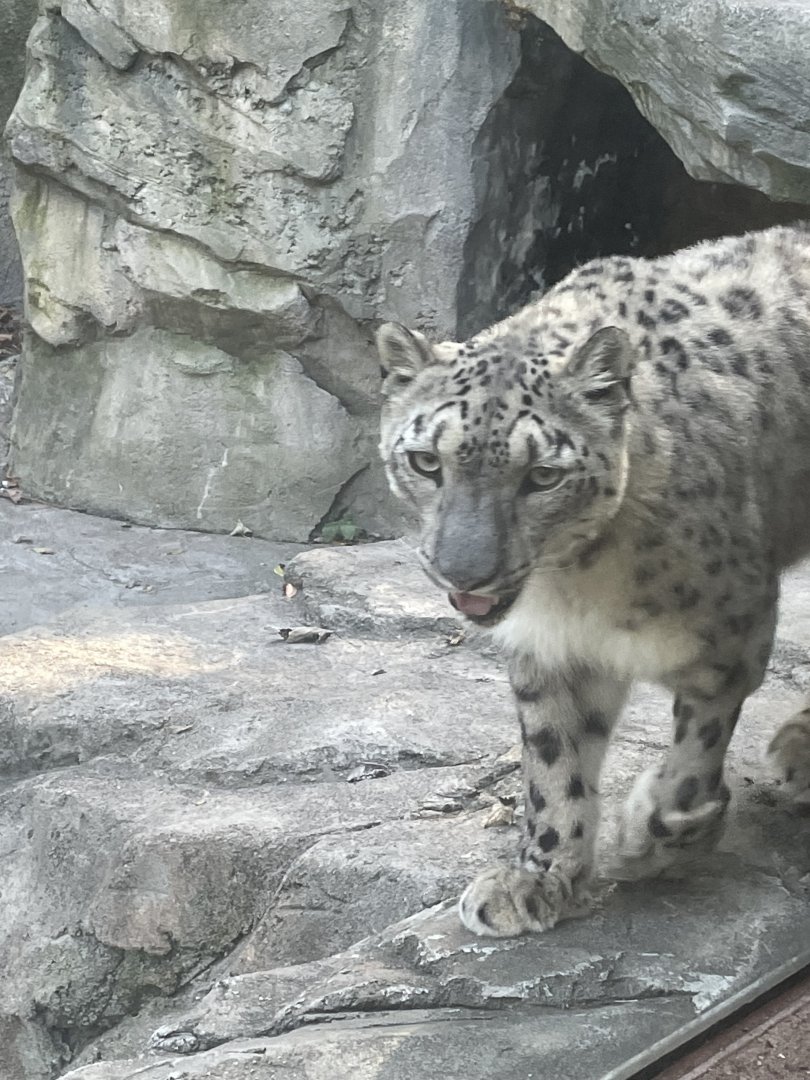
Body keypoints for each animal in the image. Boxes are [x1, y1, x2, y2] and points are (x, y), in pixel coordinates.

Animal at [376, 222, 810, 937]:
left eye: (542, 476)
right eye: (425, 462)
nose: (464, 570)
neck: (579, 583)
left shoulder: (731, 635)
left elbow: (695, 754)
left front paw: (653, 836)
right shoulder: (550, 649)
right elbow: (555, 758)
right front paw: (537, 876)